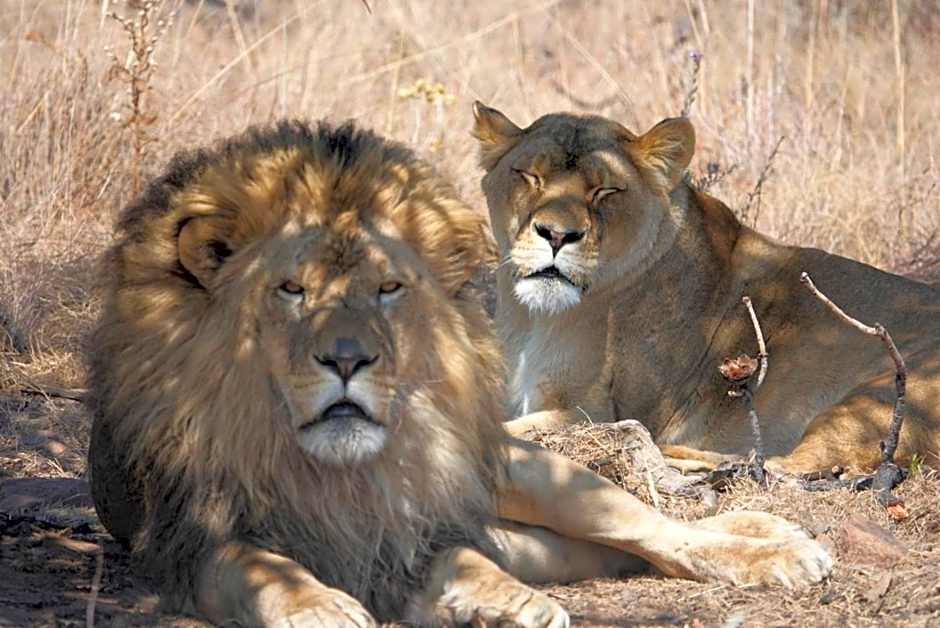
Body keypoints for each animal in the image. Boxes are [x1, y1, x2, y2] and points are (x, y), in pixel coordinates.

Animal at [88, 119, 832, 627]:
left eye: (389, 289)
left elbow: (466, 557)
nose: (349, 359)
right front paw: (319, 607)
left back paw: (779, 553)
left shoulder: (418, 532)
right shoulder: (190, 537)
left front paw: (511, 605)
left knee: (654, 529)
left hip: (530, 471)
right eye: (292, 290)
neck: (331, 467)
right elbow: (261, 568)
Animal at [472, 102, 940, 477]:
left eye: (606, 190)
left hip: (879, 395)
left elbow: (517, 429)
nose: (556, 234)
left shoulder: (595, 409)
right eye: (529, 176)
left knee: (784, 465)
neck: (535, 319)